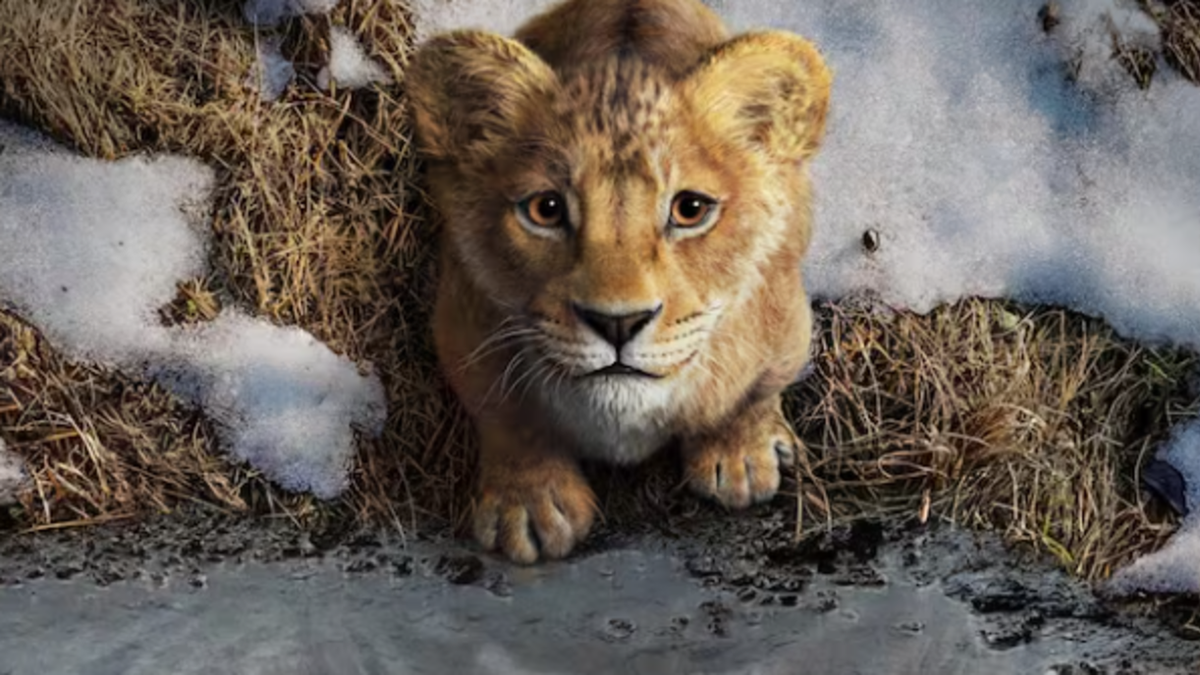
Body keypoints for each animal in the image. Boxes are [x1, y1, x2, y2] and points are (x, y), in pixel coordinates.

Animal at [408, 0, 831, 563]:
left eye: (690, 209)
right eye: (545, 209)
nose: (618, 323)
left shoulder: (785, 321)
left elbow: (753, 391)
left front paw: (741, 456)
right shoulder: (462, 323)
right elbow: (507, 416)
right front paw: (531, 504)